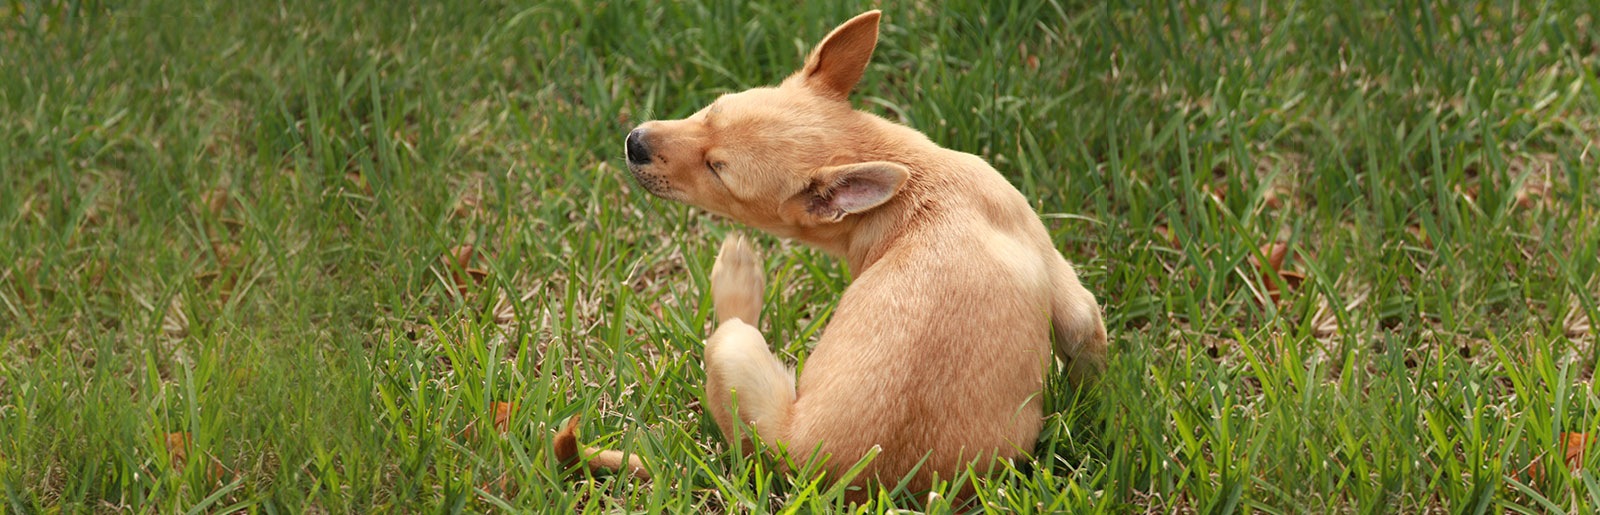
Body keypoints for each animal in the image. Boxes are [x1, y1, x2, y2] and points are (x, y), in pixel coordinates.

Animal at [556, 9, 1107, 502]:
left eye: (718, 171)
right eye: (710, 110)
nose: (633, 142)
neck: (914, 184)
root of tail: (807, 473)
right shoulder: (1071, 295)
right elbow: (1087, 349)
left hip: (734, 355)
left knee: (732, 342)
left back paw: (737, 279)